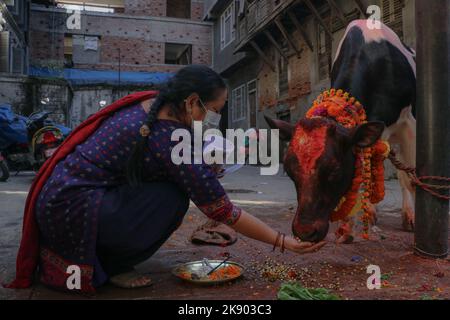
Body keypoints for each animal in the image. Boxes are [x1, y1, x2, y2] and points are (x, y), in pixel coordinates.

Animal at [266, 20, 416, 242]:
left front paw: (413, 219)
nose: (304, 231)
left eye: (334, 170)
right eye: (290, 171)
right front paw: (346, 228)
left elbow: (409, 178)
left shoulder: (409, 124)